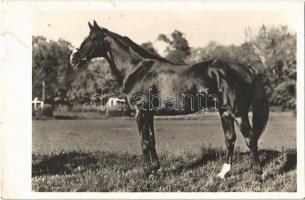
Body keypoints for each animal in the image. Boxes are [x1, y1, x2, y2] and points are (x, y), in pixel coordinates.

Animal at [70, 20, 268, 178]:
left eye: (92, 39)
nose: (74, 58)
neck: (137, 69)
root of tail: (247, 70)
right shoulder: (149, 114)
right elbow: (151, 141)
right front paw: (156, 169)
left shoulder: (140, 112)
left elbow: (144, 142)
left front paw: (147, 173)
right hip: (225, 112)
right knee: (230, 139)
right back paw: (223, 173)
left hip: (238, 112)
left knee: (250, 138)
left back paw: (258, 174)